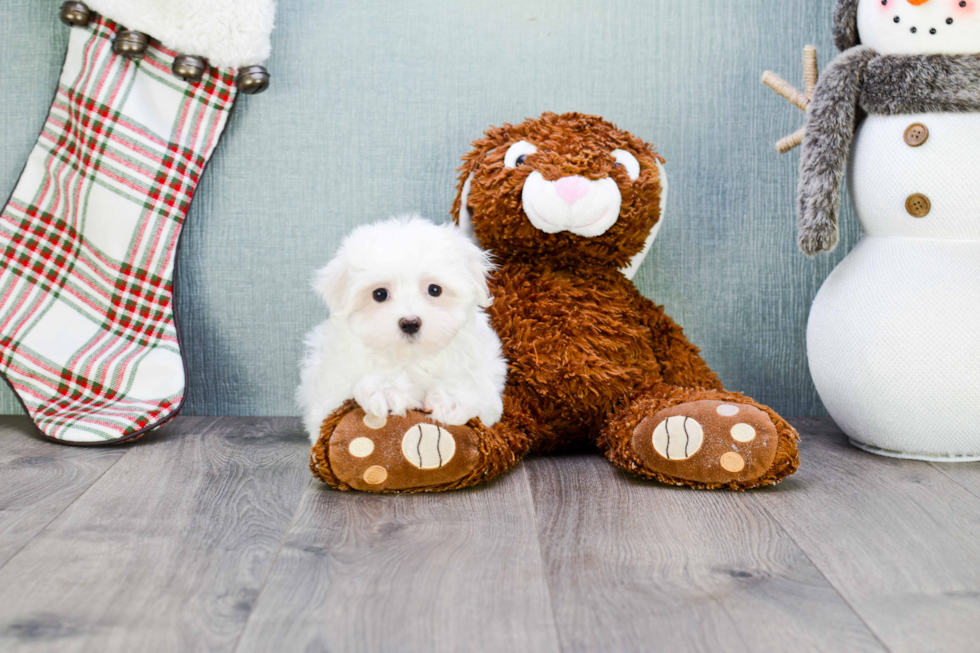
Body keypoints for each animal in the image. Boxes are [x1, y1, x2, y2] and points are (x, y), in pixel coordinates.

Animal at [296, 214, 506, 444]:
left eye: (434, 289)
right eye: (380, 294)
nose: (410, 322)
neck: (411, 357)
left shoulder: (484, 380)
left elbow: (474, 390)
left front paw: (451, 399)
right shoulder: (329, 394)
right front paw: (386, 389)